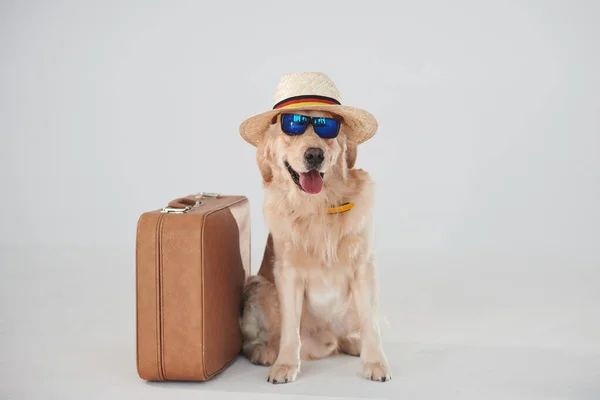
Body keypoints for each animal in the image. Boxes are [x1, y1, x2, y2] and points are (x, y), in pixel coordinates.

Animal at [240, 109, 394, 384]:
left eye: (326, 126)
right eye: (293, 127)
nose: (314, 155)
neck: (318, 206)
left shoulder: (364, 267)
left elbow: (371, 324)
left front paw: (376, 362)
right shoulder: (287, 273)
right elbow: (290, 329)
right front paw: (285, 365)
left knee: (348, 336)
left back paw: (353, 344)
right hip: (258, 288)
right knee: (253, 342)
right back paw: (264, 351)